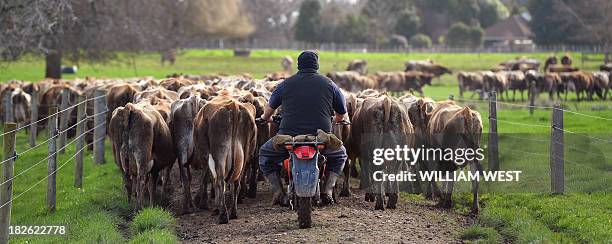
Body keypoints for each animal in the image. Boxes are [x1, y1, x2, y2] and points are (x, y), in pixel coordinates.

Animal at [194, 94, 256, 224]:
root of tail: (234, 105)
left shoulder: (205, 156)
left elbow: (210, 178)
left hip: (220, 152)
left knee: (220, 180)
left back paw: (222, 215)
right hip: (245, 152)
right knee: (236, 182)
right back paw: (233, 213)